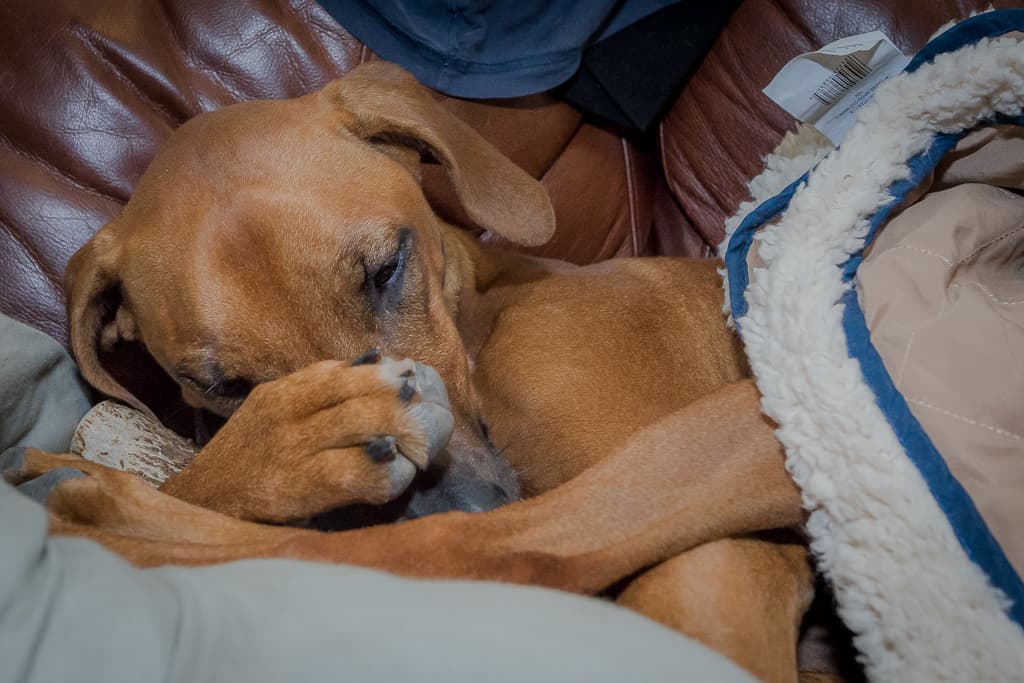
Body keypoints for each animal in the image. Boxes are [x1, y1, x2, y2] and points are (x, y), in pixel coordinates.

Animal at [6, 62, 806, 683]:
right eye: (224, 386)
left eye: (387, 270)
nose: (448, 500)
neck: (483, 307)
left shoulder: (715, 551)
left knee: (480, 551)